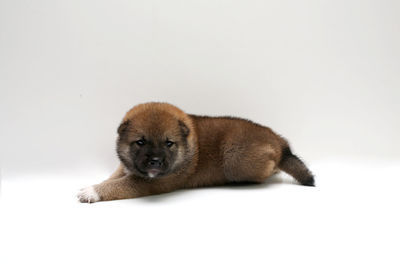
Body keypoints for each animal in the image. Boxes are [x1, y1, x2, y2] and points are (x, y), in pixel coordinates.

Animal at [78, 102, 314, 203]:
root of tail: (279, 142)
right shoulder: (129, 167)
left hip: (235, 158)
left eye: (169, 143)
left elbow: (119, 185)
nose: (155, 162)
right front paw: (96, 184)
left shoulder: (153, 182)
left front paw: (91, 191)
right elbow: (114, 176)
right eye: (140, 142)